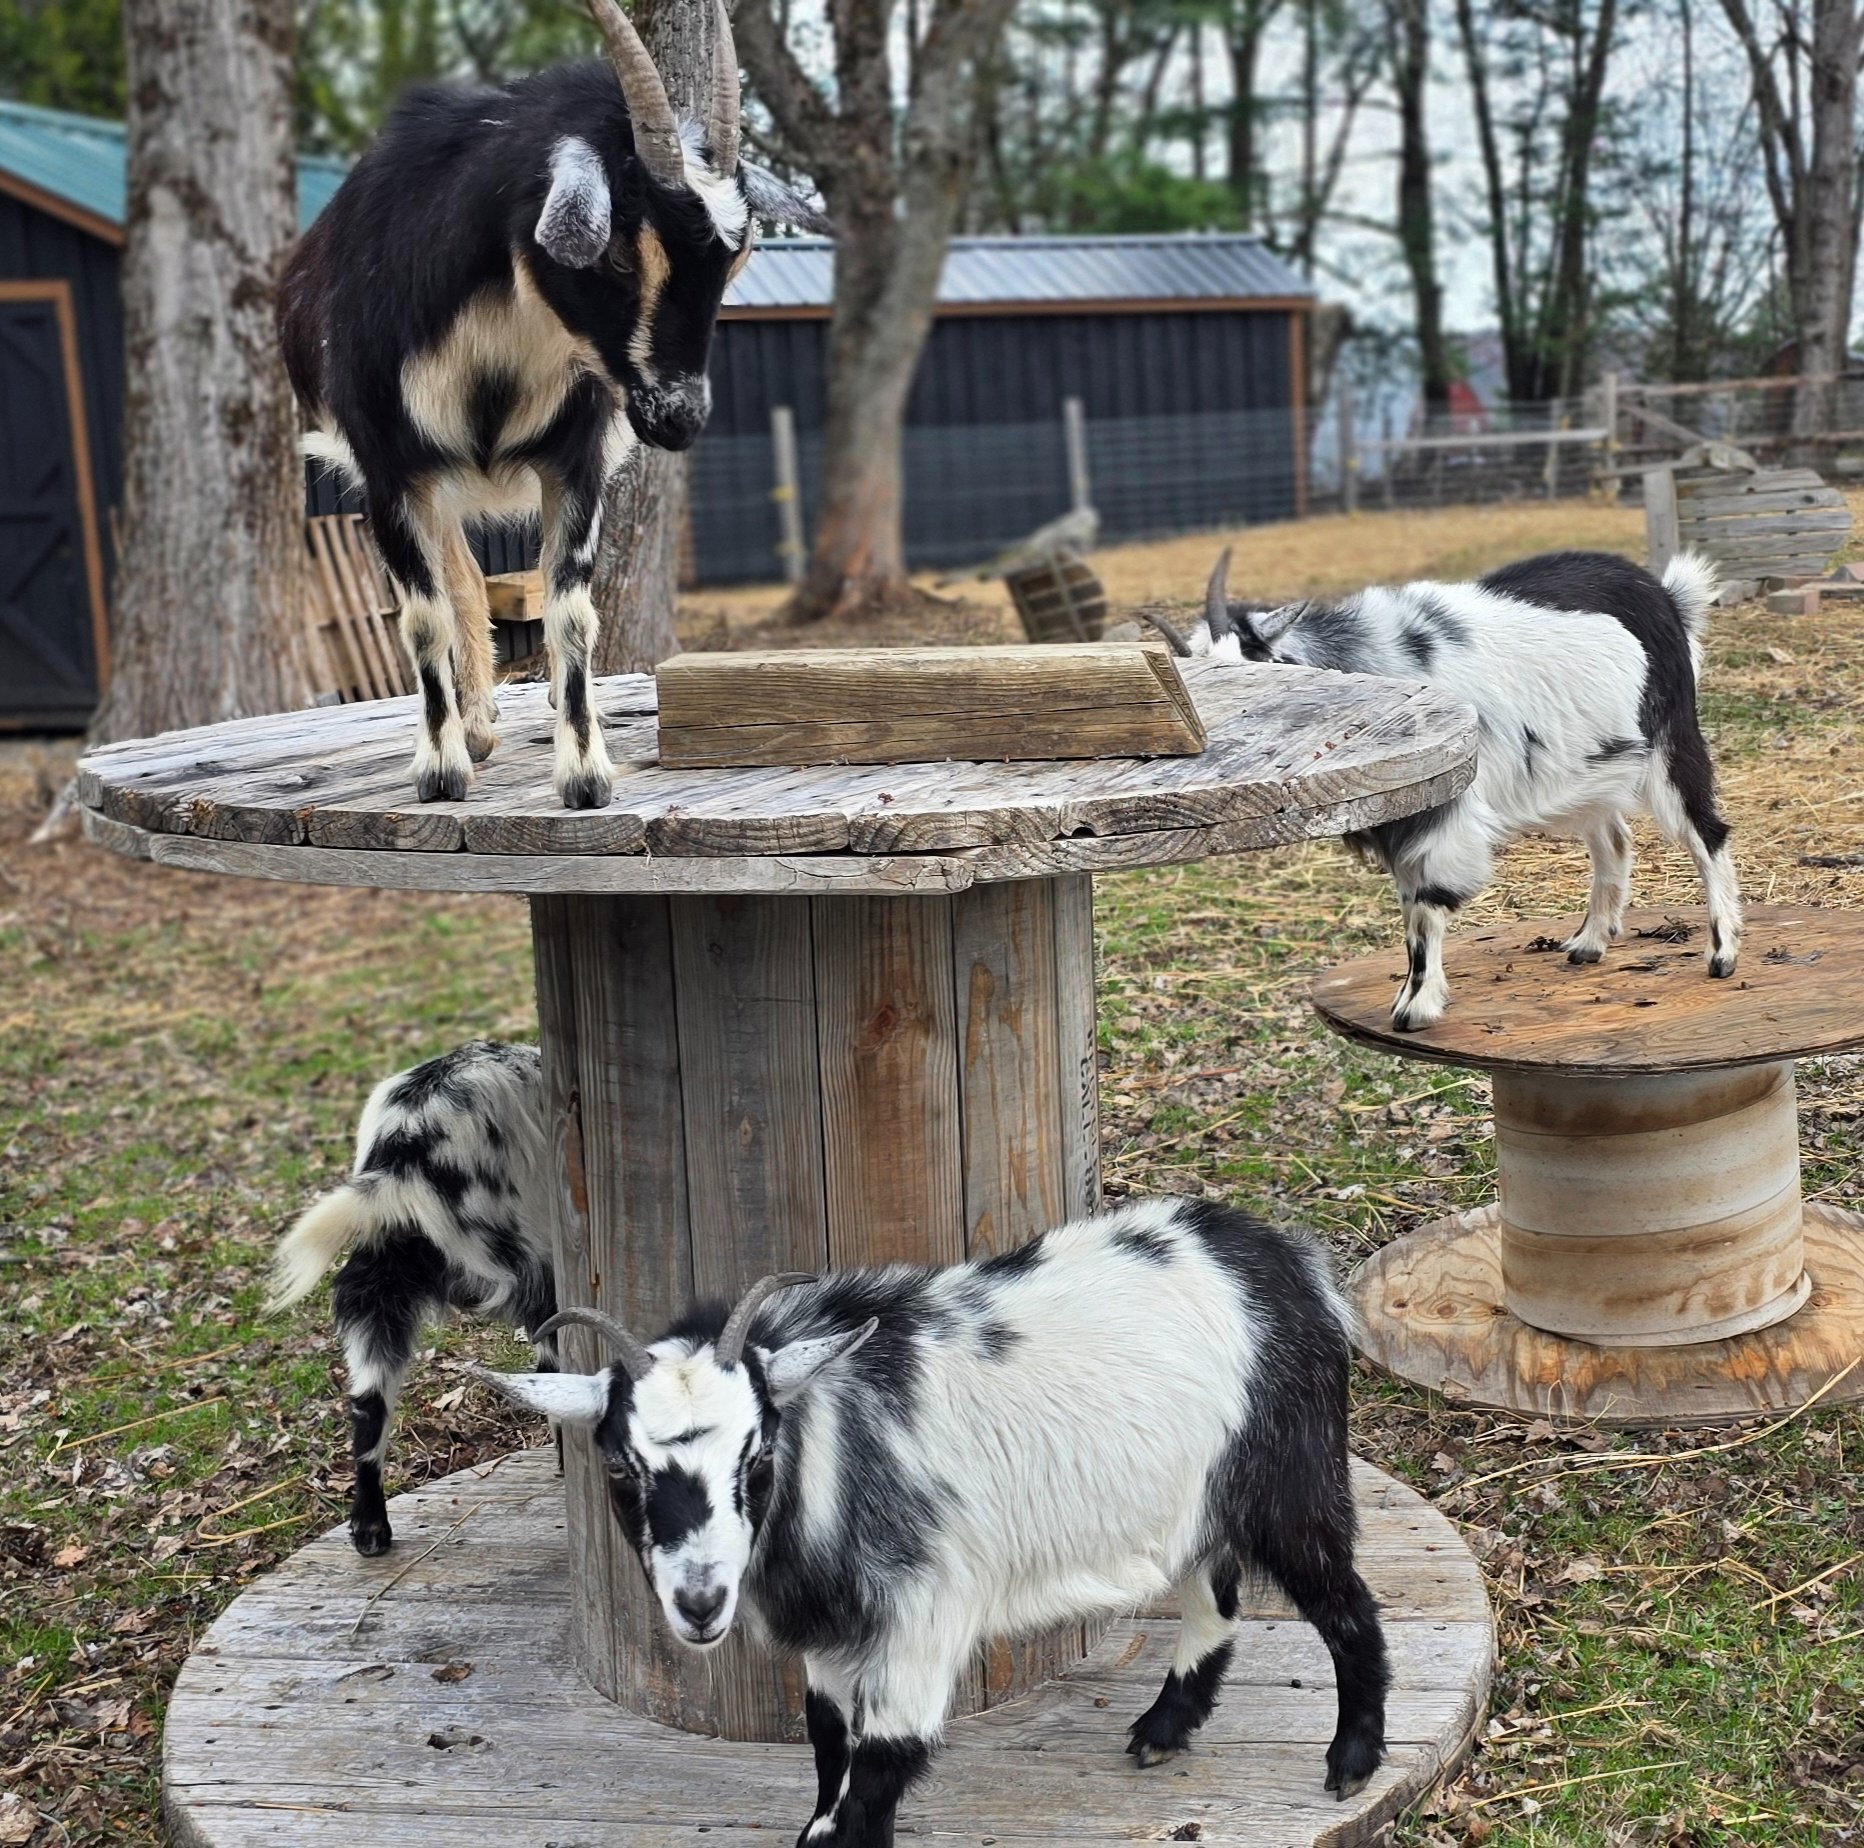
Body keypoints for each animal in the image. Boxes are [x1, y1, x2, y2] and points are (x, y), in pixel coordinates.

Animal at [279, 0, 828, 811]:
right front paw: (439, 769)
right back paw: (472, 728)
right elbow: (423, 615)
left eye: (737, 258)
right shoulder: (386, 465)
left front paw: (585, 774)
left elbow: (570, 613)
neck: (501, 340)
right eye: (620, 253)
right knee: (456, 579)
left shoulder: (576, 458)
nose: (680, 416)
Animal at [476, 1200, 1391, 1844]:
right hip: (1199, 1494)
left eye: (758, 1456)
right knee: (1215, 1591)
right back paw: (1165, 1729)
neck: (835, 1451)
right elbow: (828, 1751)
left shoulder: (923, 1618)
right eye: (620, 1469)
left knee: (1346, 1605)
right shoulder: (832, 1640)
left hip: (1291, 1476)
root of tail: (1290, 1262)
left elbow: (875, 1780)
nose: (700, 1604)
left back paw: (1350, 1761)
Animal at [1150, 548, 1742, 1030]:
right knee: (1614, 841)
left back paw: (1722, 954)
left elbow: (1424, 909)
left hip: (1669, 743)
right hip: (1589, 769)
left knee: (1708, 833)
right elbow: (1409, 905)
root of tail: (1668, 596)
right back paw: (1589, 943)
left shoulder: (1444, 817)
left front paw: (1415, 1007)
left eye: (1259, 668)